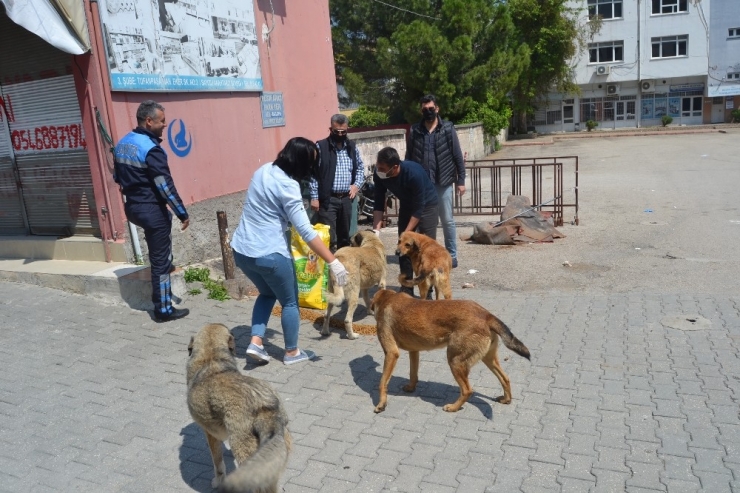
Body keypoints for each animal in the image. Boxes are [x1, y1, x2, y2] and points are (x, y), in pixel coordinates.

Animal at [372, 288, 528, 412]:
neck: (388, 298)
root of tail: (486, 315)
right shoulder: (414, 351)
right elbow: (413, 374)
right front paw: (411, 388)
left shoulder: (391, 353)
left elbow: (382, 382)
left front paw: (381, 404)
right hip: (488, 359)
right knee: (505, 378)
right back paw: (506, 399)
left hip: (455, 361)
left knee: (467, 390)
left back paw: (453, 407)